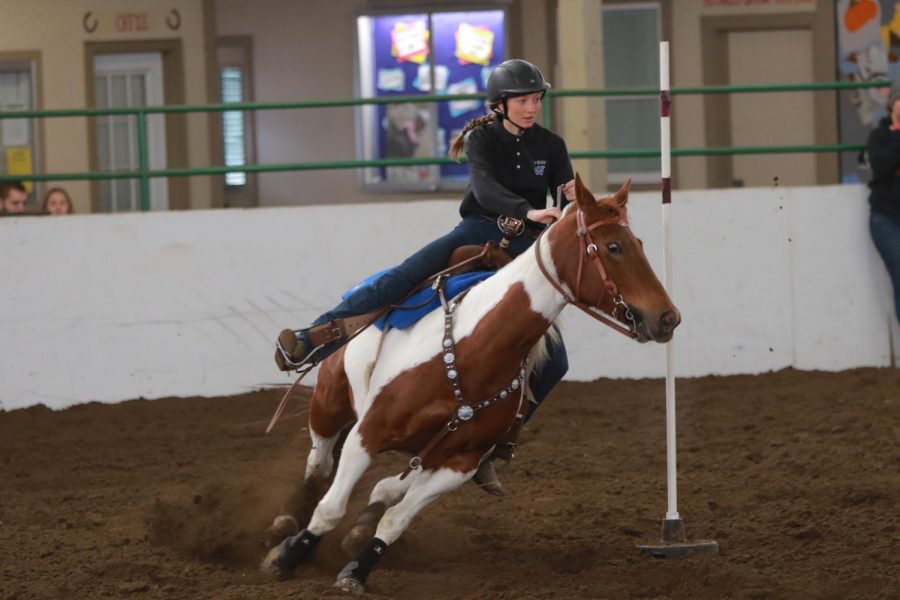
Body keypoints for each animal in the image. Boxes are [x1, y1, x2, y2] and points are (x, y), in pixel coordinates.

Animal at [264, 172, 680, 592]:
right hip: (330, 403)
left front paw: (357, 569)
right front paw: (287, 556)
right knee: (318, 467)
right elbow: (331, 508)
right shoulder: (369, 432)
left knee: (383, 488)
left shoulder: (459, 463)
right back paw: (286, 518)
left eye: (639, 243)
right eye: (613, 246)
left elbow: (396, 519)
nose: (668, 318)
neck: (469, 352)